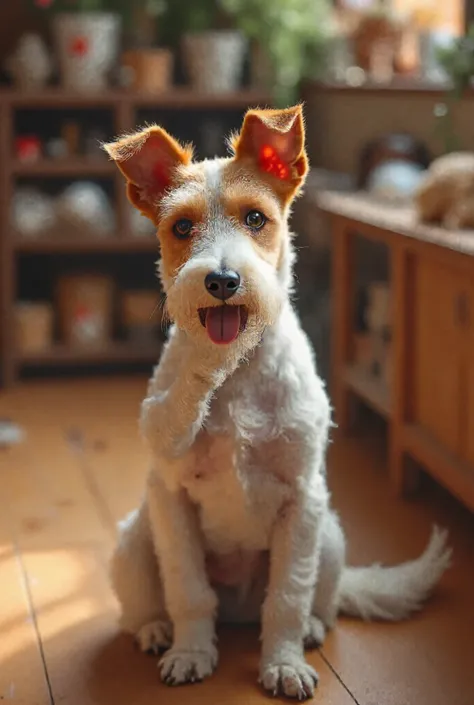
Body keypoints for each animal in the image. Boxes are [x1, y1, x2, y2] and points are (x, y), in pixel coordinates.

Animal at [103, 104, 452, 700]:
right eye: (181, 227)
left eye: (256, 218)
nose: (222, 280)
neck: (238, 375)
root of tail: (240, 610)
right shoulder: (171, 494)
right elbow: (188, 591)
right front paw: (191, 654)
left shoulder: (302, 498)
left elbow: (288, 596)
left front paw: (283, 664)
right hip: (134, 539)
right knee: (153, 605)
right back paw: (156, 631)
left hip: (330, 536)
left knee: (314, 602)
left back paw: (308, 629)